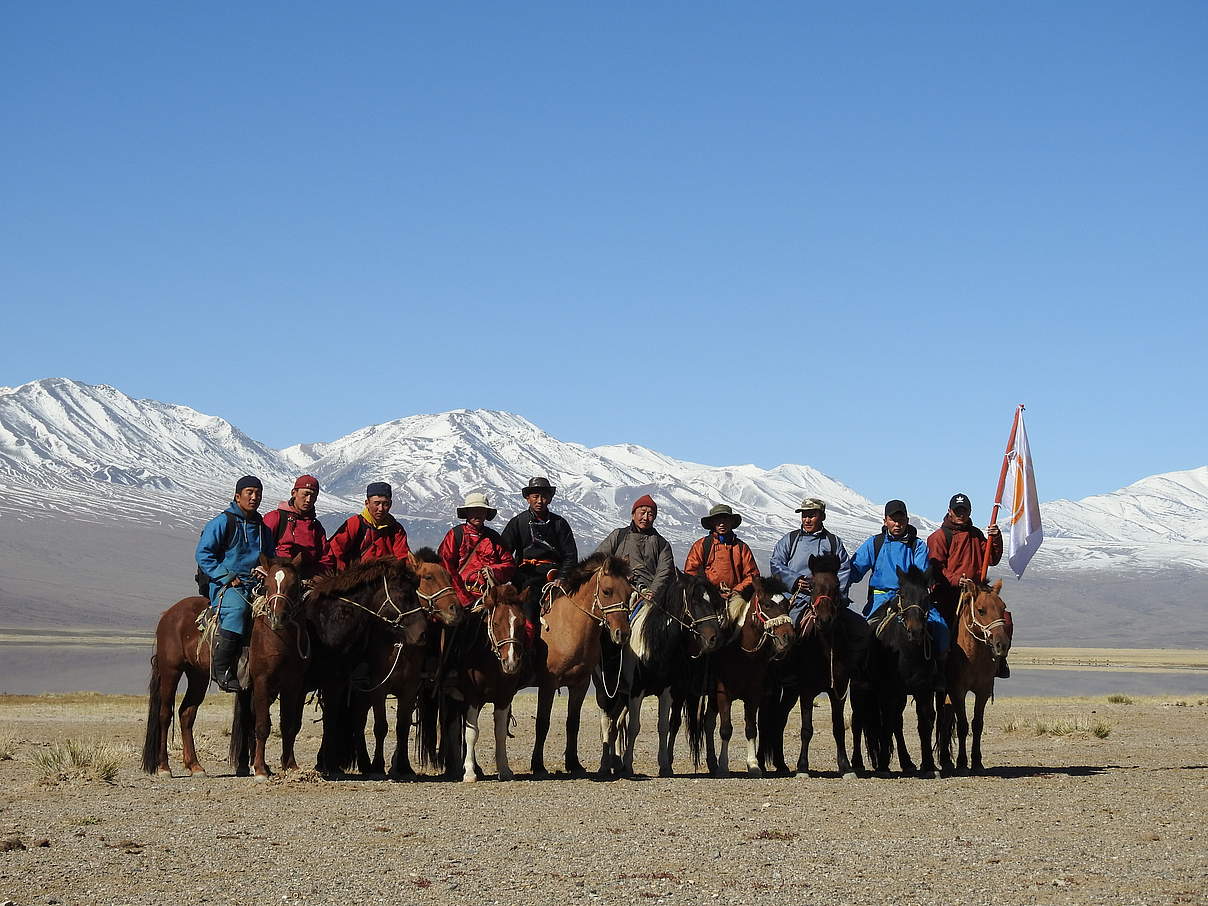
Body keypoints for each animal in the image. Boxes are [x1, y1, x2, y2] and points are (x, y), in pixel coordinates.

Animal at [142, 553, 306, 782]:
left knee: (186, 714)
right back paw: (164, 767)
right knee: (165, 714)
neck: (276, 637)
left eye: (294, 584)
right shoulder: (262, 682)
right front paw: (260, 770)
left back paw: (195, 766)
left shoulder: (292, 685)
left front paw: (291, 766)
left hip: (198, 676)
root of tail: (169, 614)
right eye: (268, 585)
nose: (277, 617)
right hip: (171, 670)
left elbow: (289, 724)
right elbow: (262, 725)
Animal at [533, 553, 637, 782]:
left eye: (629, 593)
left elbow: (573, 722)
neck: (568, 628)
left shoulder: (580, 683)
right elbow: (543, 722)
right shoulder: (548, 683)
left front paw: (573, 763)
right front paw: (538, 765)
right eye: (607, 591)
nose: (622, 634)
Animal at [695, 577, 797, 777]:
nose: (787, 637)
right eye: (767, 604)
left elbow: (751, 729)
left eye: (787, 605)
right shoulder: (723, 695)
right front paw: (724, 766)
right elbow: (726, 729)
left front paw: (753, 765)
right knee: (710, 724)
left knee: (709, 722)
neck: (743, 654)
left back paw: (712, 763)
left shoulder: (753, 695)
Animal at [937, 577, 1014, 777]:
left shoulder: (984, 690)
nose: (1002, 645)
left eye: (1003, 607)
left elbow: (977, 724)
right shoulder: (957, 690)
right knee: (942, 719)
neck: (973, 654)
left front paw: (977, 762)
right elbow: (963, 726)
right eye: (981, 610)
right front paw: (962, 763)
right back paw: (945, 761)